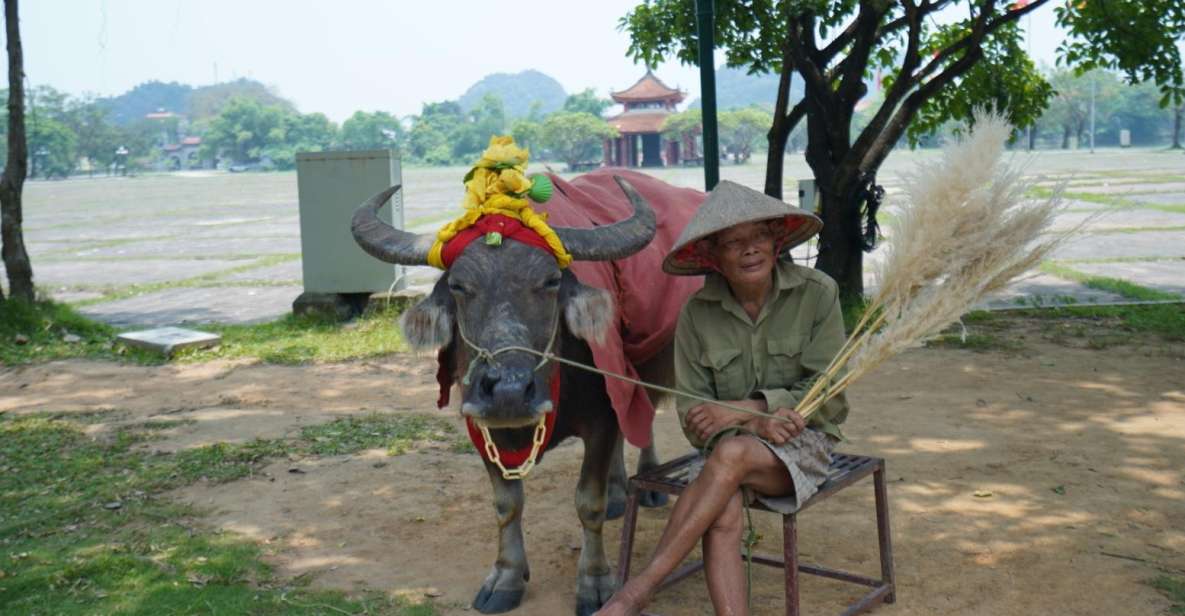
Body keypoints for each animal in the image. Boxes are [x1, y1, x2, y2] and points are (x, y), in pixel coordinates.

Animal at [350, 169, 701, 616]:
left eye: (551, 281)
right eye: (459, 286)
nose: (509, 391)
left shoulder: (602, 416)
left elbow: (588, 501)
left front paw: (595, 582)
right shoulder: (479, 424)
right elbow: (506, 504)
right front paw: (506, 577)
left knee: (644, 417)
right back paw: (620, 492)